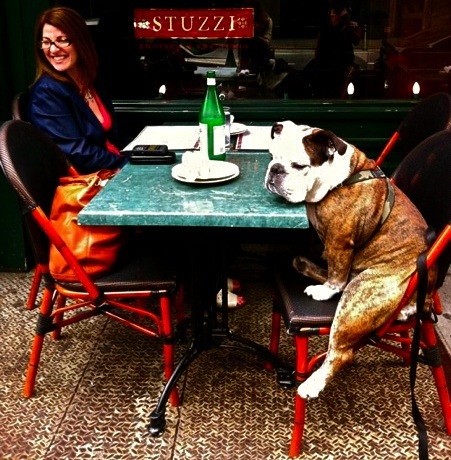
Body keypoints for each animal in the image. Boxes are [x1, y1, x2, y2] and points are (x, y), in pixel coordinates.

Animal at [264, 120, 434, 400]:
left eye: (299, 166)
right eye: (271, 156)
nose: (275, 170)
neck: (336, 179)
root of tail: (427, 293)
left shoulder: (339, 239)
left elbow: (337, 273)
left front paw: (326, 290)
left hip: (357, 297)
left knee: (341, 350)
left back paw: (312, 383)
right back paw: (304, 265)